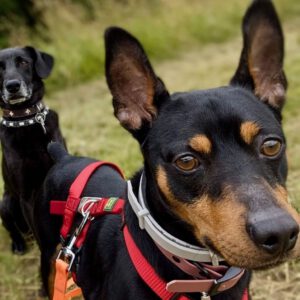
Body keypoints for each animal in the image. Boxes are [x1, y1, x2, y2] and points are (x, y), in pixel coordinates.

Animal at [0, 46, 65, 253]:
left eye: (23, 62)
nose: (12, 86)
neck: (26, 120)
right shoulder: (26, 195)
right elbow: (39, 234)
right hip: (6, 204)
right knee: (14, 229)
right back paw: (18, 245)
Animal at [34, 1, 300, 298]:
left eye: (271, 145)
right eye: (186, 161)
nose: (278, 233)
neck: (200, 278)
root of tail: (64, 156)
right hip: (49, 259)